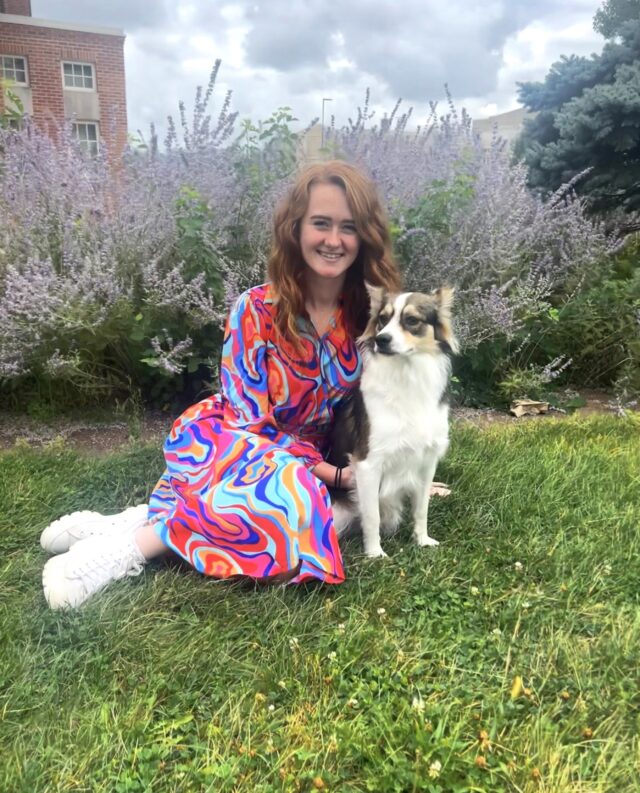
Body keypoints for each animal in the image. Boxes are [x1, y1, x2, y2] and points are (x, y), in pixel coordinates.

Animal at [328, 284, 458, 556]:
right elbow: (372, 516)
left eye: (412, 320)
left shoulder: (427, 462)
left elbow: (421, 509)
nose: (381, 340)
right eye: (382, 319)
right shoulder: (367, 464)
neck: (407, 374)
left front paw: (422, 540)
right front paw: (375, 554)